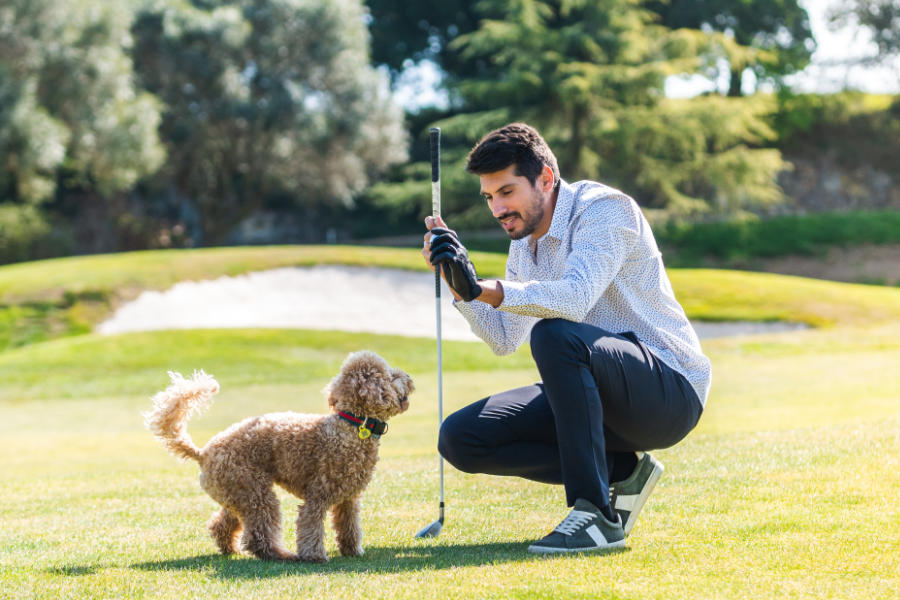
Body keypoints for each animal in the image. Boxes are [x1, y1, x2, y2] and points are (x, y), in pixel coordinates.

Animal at [144, 352, 414, 564]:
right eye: (390, 376)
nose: (410, 378)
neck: (353, 425)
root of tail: (203, 452)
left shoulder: (349, 499)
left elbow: (349, 526)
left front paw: (352, 551)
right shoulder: (317, 495)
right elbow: (310, 525)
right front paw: (315, 556)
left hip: (237, 493)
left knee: (222, 523)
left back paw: (229, 547)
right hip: (255, 492)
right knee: (258, 535)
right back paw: (280, 554)